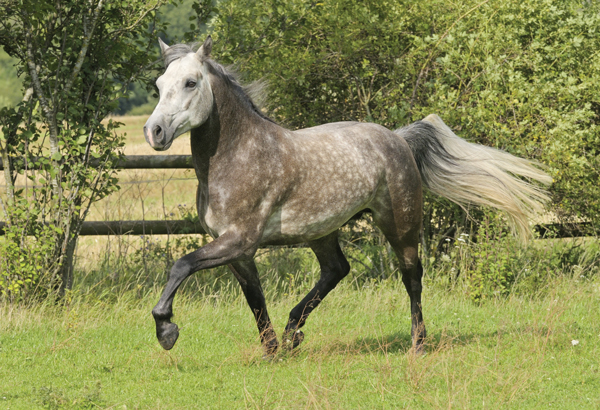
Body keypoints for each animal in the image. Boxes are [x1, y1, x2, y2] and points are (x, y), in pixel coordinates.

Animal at [143, 36, 552, 354]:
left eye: (191, 82)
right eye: (159, 84)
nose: (155, 132)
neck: (238, 156)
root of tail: (398, 138)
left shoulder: (240, 240)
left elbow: (181, 265)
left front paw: (166, 330)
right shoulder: (237, 251)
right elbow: (254, 300)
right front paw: (272, 350)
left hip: (400, 226)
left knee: (412, 277)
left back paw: (418, 344)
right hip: (321, 231)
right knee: (337, 270)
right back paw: (293, 333)